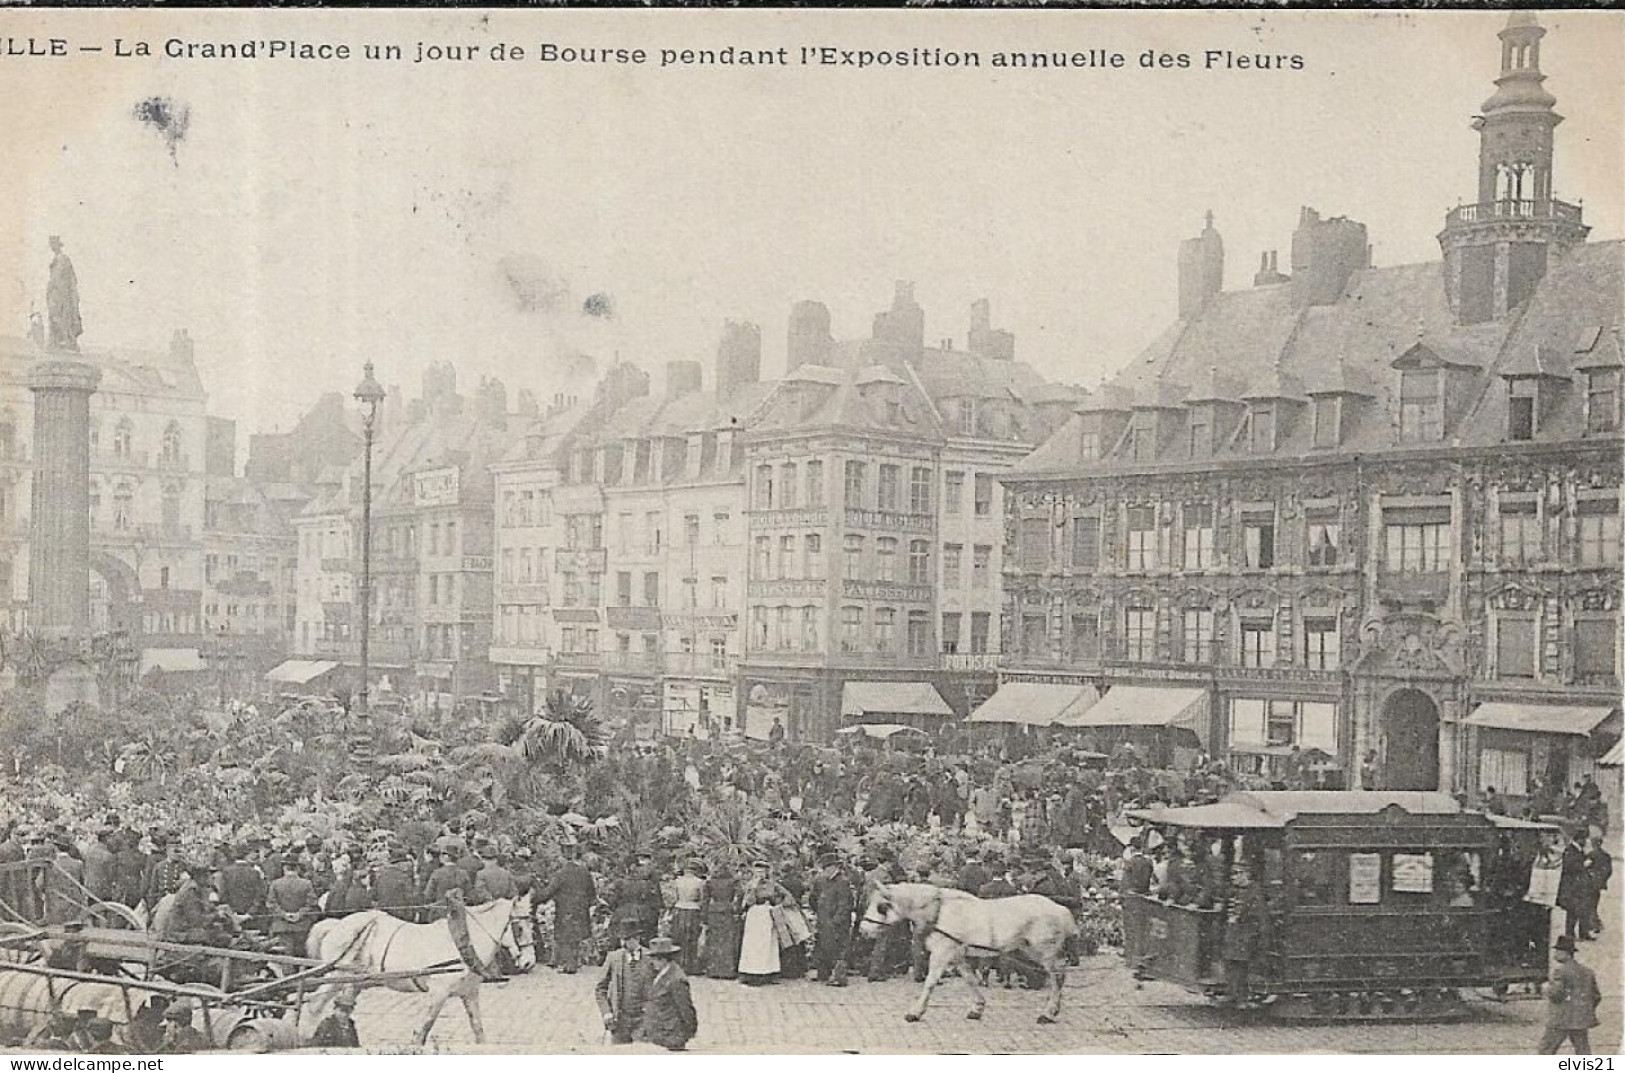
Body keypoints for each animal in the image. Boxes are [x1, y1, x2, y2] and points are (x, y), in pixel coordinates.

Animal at [308, 897, 520, 1046]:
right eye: (519, 925)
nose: (524, 961)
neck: (461, 942)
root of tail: (336, 924)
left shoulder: (469, 993)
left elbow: (478, 1029)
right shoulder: (439, 993)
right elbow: (423, 1030)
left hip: (354, 981)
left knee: (341, 1009)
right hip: (335, 976)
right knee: (315, 1004)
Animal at [864, 884, 1079, 1027]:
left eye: (881, 906)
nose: (863, 930)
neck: (938, 912)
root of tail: (1060, 909)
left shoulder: (942, 953)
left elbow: (930, 982)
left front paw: (915, 1012)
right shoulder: (957, 955)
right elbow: (970, 979)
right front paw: (977, 1008)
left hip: (1046, 952)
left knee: (1057, 978)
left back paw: (1048, 1013)